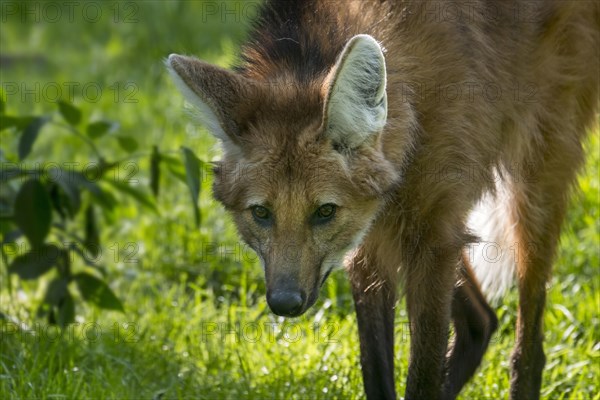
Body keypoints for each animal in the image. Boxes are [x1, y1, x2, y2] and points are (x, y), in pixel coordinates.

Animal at [166, 0, 600, 400]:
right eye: (261, 212)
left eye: (324, 211)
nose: (285, 303)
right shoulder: (371, 235)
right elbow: (375, 366)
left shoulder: (429, 235)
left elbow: (422, 376)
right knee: (482, 321)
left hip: (534, 178)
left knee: (529, 344)